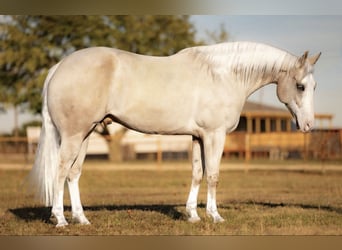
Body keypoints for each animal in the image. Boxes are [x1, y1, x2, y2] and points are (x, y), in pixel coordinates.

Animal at [28, 41, 320, 227]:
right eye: (300, 86)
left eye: (314, 86)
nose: (308, 125)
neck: (223, 75)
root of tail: (59, 67)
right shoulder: (214, 135)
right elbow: (213, 176)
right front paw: (214, 216)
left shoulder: (198, 136)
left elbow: (197, 173)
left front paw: (192, 215)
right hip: (74, 136)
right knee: (61, 171)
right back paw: (60, 219)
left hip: (86, 134)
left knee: (74, 174)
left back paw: (81, 219)